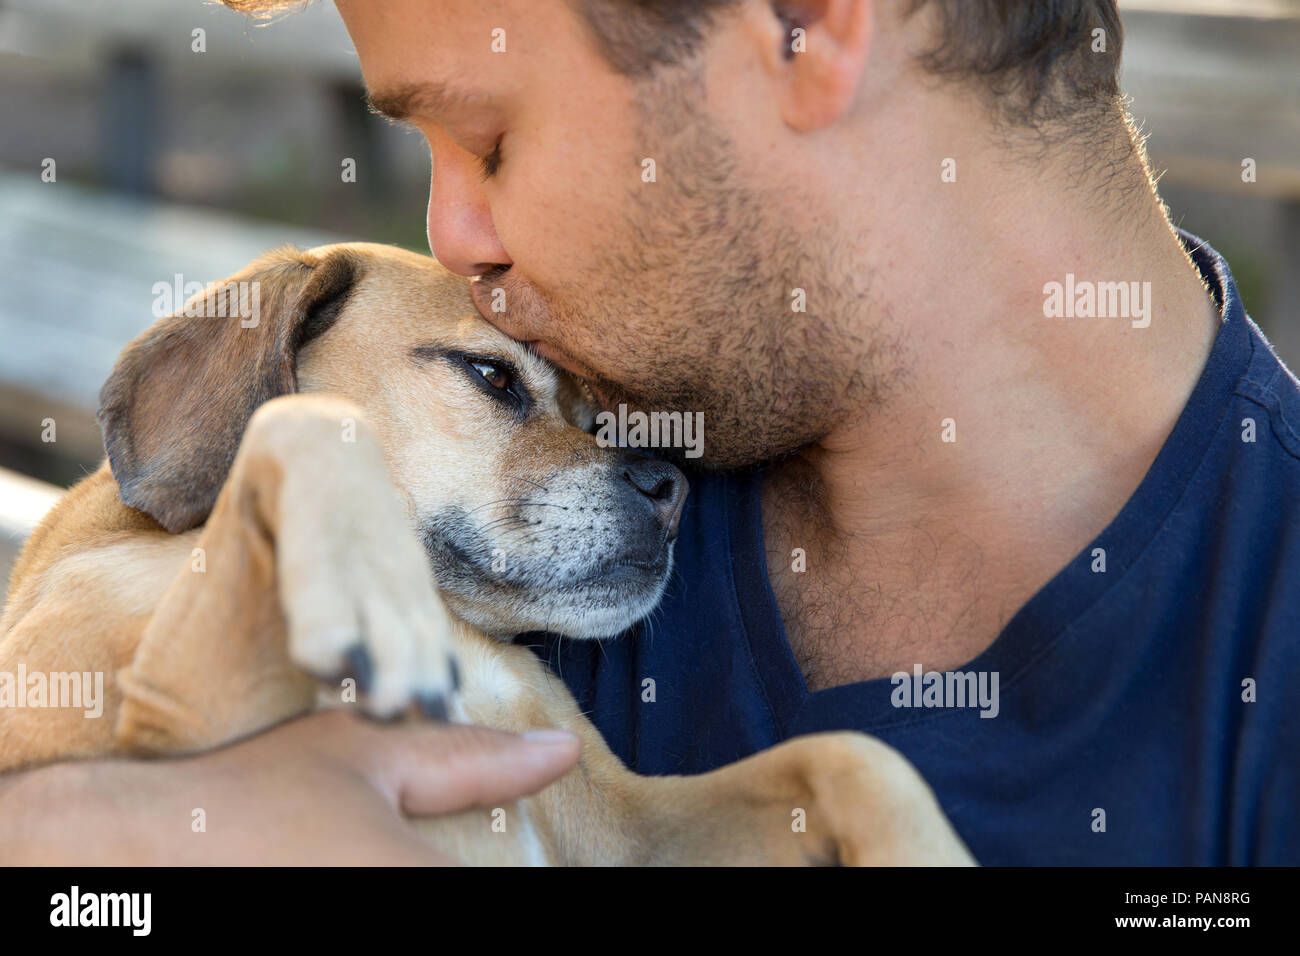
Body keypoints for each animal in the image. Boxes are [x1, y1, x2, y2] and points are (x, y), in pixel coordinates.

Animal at [0, 240, 977, 868]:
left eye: (592, 414)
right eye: (492, 375)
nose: (672, 489)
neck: (455, 624)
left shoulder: (625, 830)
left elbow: (855, 758)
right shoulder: (177, 731)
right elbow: (303, 420)